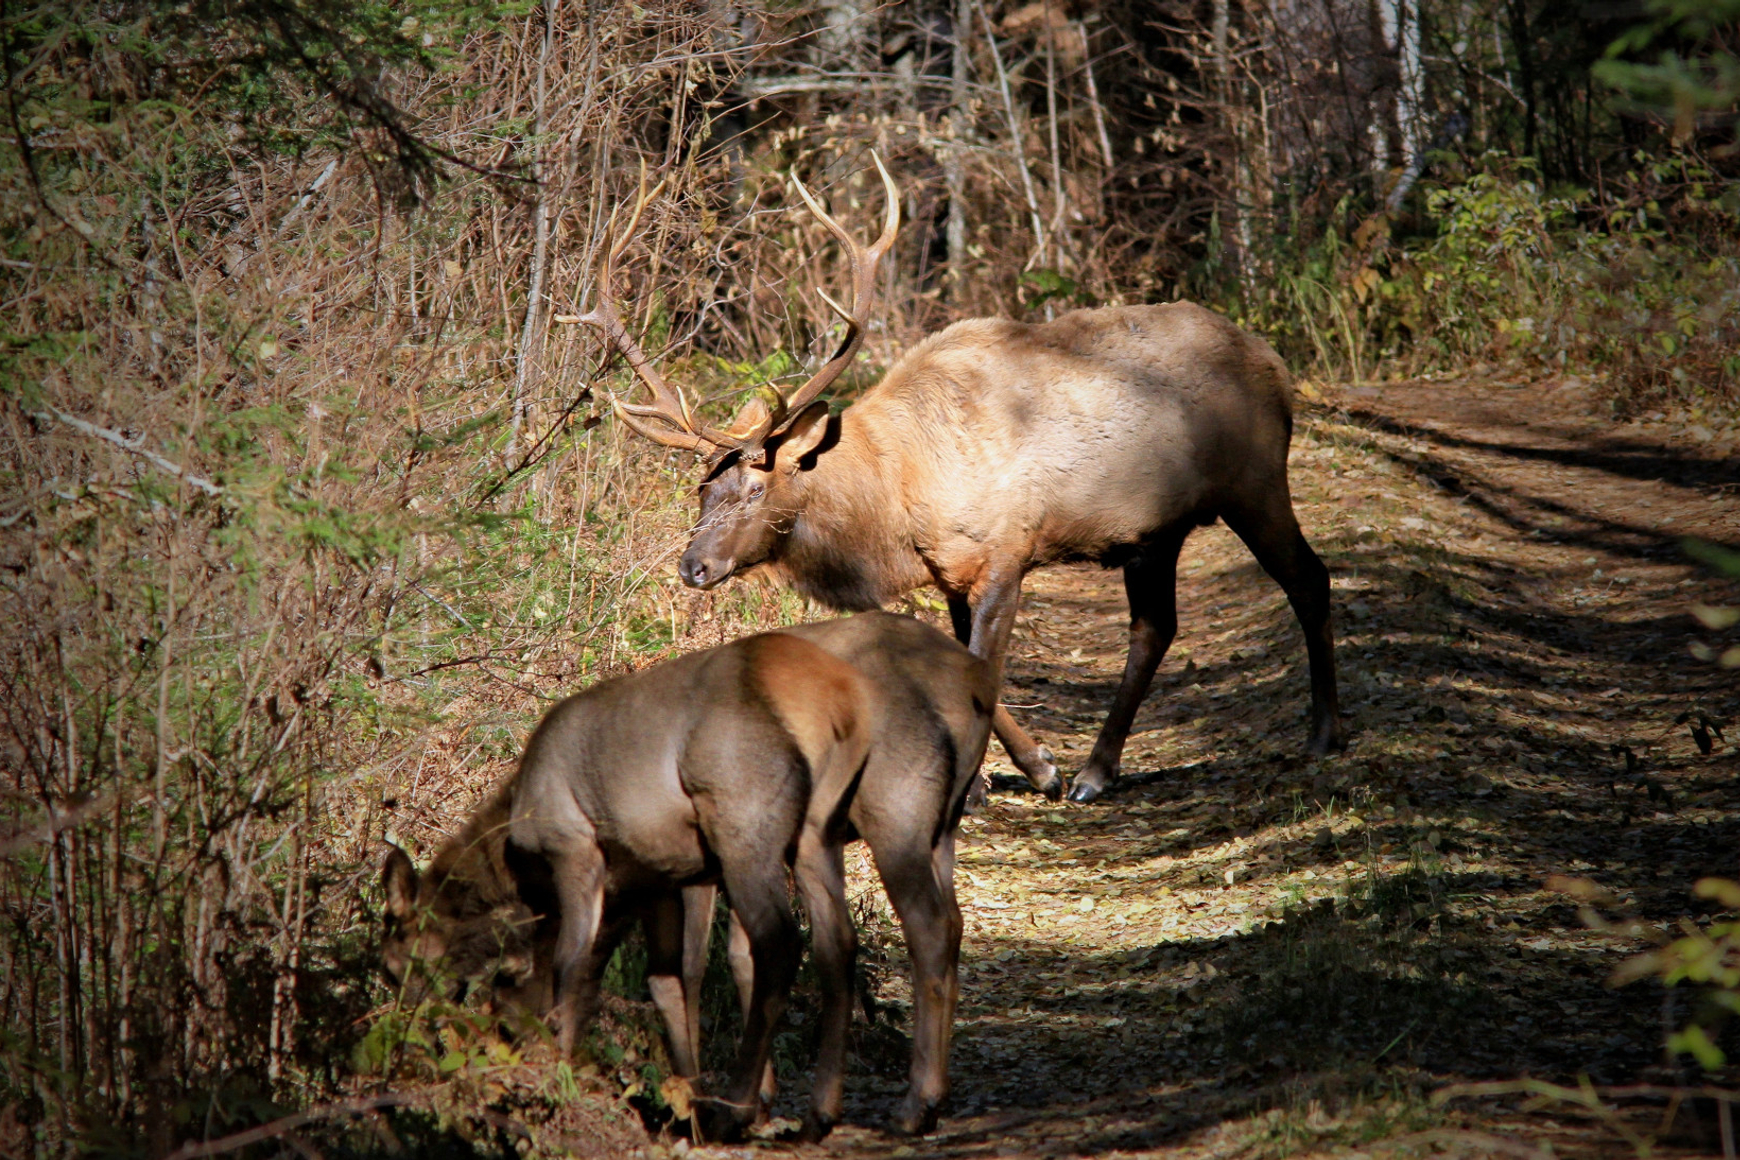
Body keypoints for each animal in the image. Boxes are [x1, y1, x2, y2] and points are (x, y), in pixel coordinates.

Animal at [386, 612, 1002, 1140]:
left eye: (394, 966)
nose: (404, 1033)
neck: (514, 856)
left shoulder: (582, 852)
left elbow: (579, 966)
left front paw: (559, 1075)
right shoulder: (650, 879)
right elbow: (657, 979)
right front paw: (688, 1094)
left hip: (799, 821)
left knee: (820, 937)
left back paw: (887, 1105)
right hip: (839, 833)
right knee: (854, 940)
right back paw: (819, 1110)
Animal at [567, 156, 1343, 806]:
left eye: (756, 488)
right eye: (703, 490)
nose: (692, 567)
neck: (897, 502)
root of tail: (1277, 367)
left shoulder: (1007, 549)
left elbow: (981, 667)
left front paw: (999, 781)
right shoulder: (952, 572)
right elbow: (961, 668)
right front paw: (1024, 773)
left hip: (1256, 481)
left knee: (1309, 576)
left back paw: (1323, 732)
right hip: (1156, 530)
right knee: (1156, 626)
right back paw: (1096, 772)